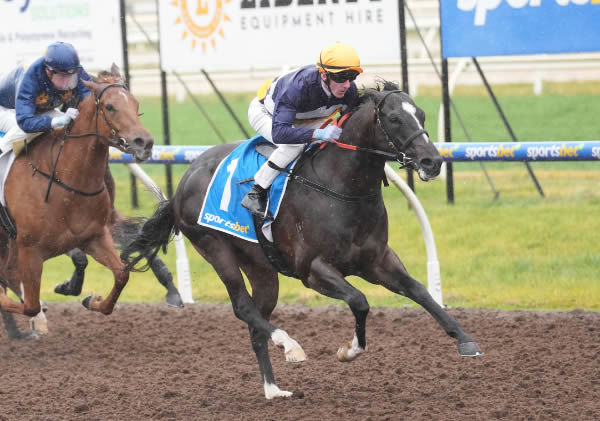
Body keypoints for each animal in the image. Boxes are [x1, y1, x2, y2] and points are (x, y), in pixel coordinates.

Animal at [0, 65, 152, 326]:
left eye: (135, 103)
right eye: (110, 107)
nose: (145, 142)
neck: (67, 183)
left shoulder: (94, 237)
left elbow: (122, 274)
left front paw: (93, 300)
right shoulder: (30, 250)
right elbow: (31, 306)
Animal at [122, 81, 482, 398]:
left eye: (421, 114)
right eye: (394, 119)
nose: (432, 161)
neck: (342, 187)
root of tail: (184, 181)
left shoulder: (377, 261)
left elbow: (419, 291)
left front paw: (465, 339)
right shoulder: (314, 270)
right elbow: (360, 301)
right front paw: (349, 350)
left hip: (261, 267)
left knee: (256, 320)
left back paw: (273, 389)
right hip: (214, 246)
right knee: (242, 307)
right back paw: (290, 345)